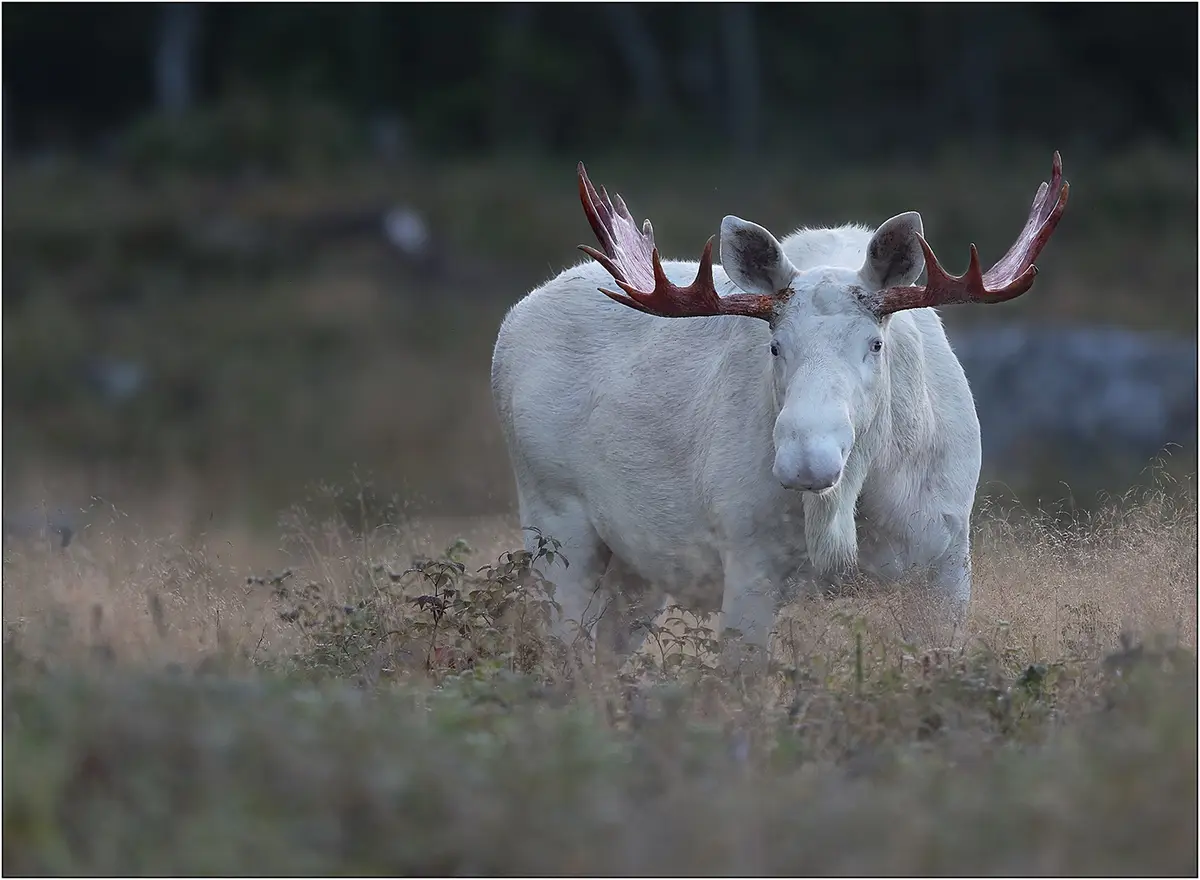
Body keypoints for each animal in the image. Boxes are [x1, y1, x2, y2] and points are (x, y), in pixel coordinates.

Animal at [491, 154, 1069, 666]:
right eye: (774, 344)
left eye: (875, 343)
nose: (806, 461)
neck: (859, 501)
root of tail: (512, 321)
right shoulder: (750, 564)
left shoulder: (948, 560)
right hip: (554, 524)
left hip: (639, 567)